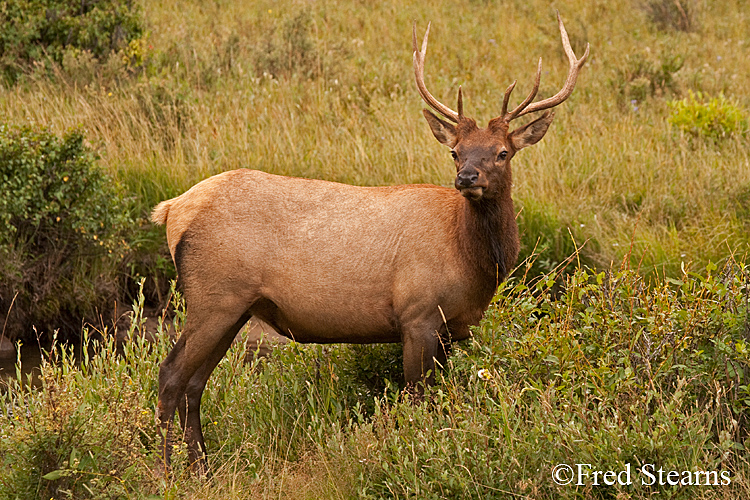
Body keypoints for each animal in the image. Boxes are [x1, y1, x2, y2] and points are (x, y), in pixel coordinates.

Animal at [151, 11, 588, 472]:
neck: (473, 264)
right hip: (214, 296)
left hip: (233, 307)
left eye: (503, 152)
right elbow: (417, 400)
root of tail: (172, 209)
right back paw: (168, 470)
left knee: (195, 383)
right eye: (456, 151)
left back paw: (202, 466)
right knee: (171, 376)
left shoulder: (457, 328)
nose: (467, 177)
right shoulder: (417, 315)